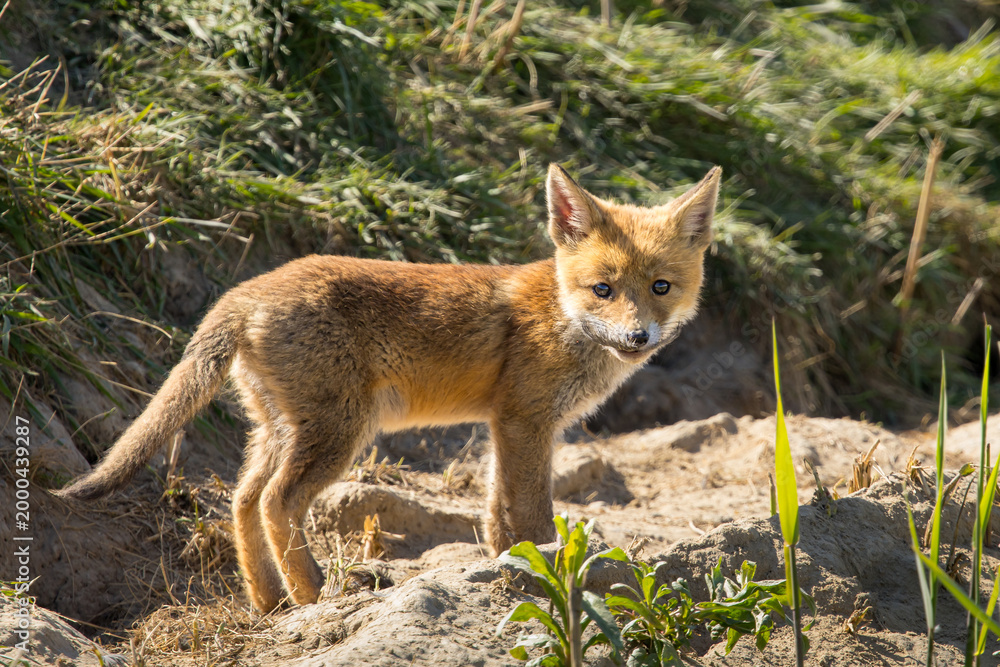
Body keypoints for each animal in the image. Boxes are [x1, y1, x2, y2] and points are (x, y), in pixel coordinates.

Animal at [56, 163, 721, 612]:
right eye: (603, 289)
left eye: (660, 287)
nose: (637, 337)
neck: (561, 313)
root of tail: (245, 292)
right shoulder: (526, 422)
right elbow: (532, 515)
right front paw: (550, 576)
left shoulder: (505, 424)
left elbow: (495, 512)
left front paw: (505, 569)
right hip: (342, 432)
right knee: (277, 502)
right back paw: (313, 595)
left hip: (281, 430)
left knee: (243, 501)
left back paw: (270, 602)